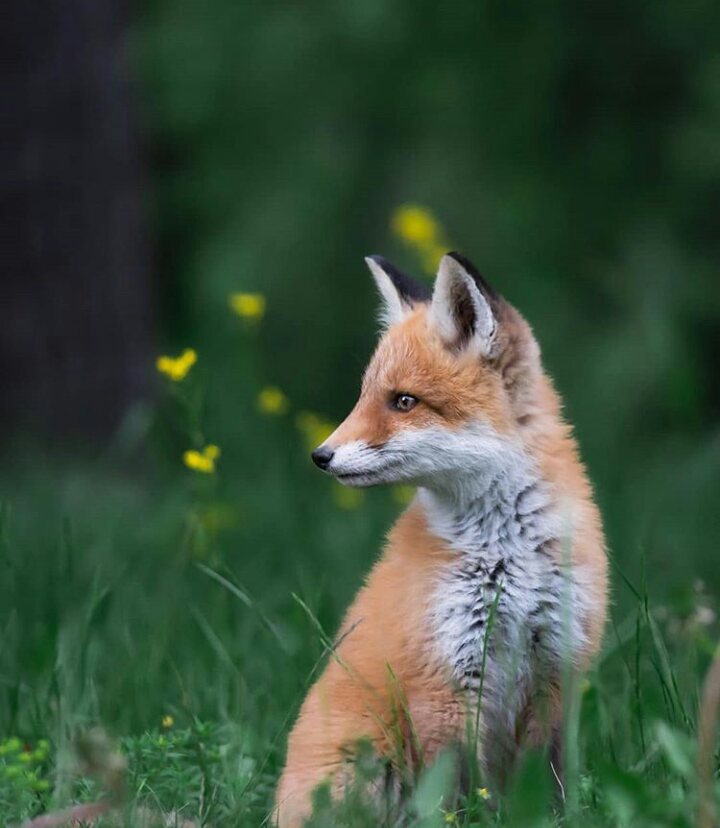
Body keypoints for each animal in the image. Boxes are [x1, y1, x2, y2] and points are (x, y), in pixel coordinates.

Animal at [275, 252, 608, 826]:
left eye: (404, 401)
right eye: (365, 397)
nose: (320, 456)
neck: (504, 551)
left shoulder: (555, 669)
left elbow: (542, 787)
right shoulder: (446, 681)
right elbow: (458, 794)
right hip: (364, 765)